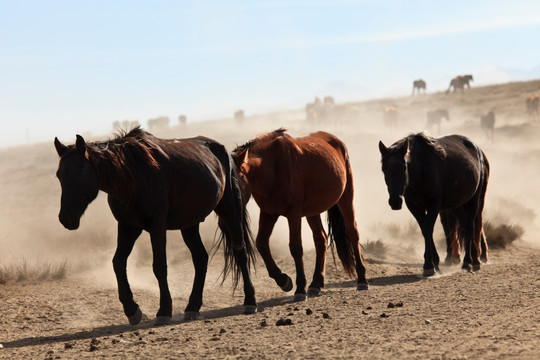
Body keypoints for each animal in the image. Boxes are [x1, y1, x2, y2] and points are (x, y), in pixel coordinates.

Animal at [54, 127, 258, 326]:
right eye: (59, 176)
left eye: (80, 174)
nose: (66, 218)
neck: (133, 178)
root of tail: (222, 151)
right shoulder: (128, 227)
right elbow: (118, 263)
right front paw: (132, 310)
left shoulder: (157, 226)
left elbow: (159, 266)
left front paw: (164, 311)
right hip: (189, 224)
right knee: (200, 258)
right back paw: (193, 307)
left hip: (230, 212)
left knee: (240, 252)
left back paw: (250, 301)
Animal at [231, 129, 368, 300]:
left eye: (235, 183)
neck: (273, 167)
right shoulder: (269, 213)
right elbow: (261, 243)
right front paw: (284, 280)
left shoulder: (294, 215)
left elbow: (296, 248)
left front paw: (300, 288)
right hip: (313, 211)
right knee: (321, 239)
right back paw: (316, 283)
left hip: (346, 199)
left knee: (353, 233)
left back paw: (362, 280)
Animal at [378, 132, 492, 276]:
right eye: (384, 169)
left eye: (404, 167)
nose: (395, 201)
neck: (421, 171)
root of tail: (477, 150)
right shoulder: (414, 207)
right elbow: (424, 230)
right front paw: (435, 263)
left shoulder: (434, 205)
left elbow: (428, 228)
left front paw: (429, 265)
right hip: (457, 205)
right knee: (464, 223)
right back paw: (473, 259)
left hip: (474, 200)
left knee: (470, 226)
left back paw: (469, 262)